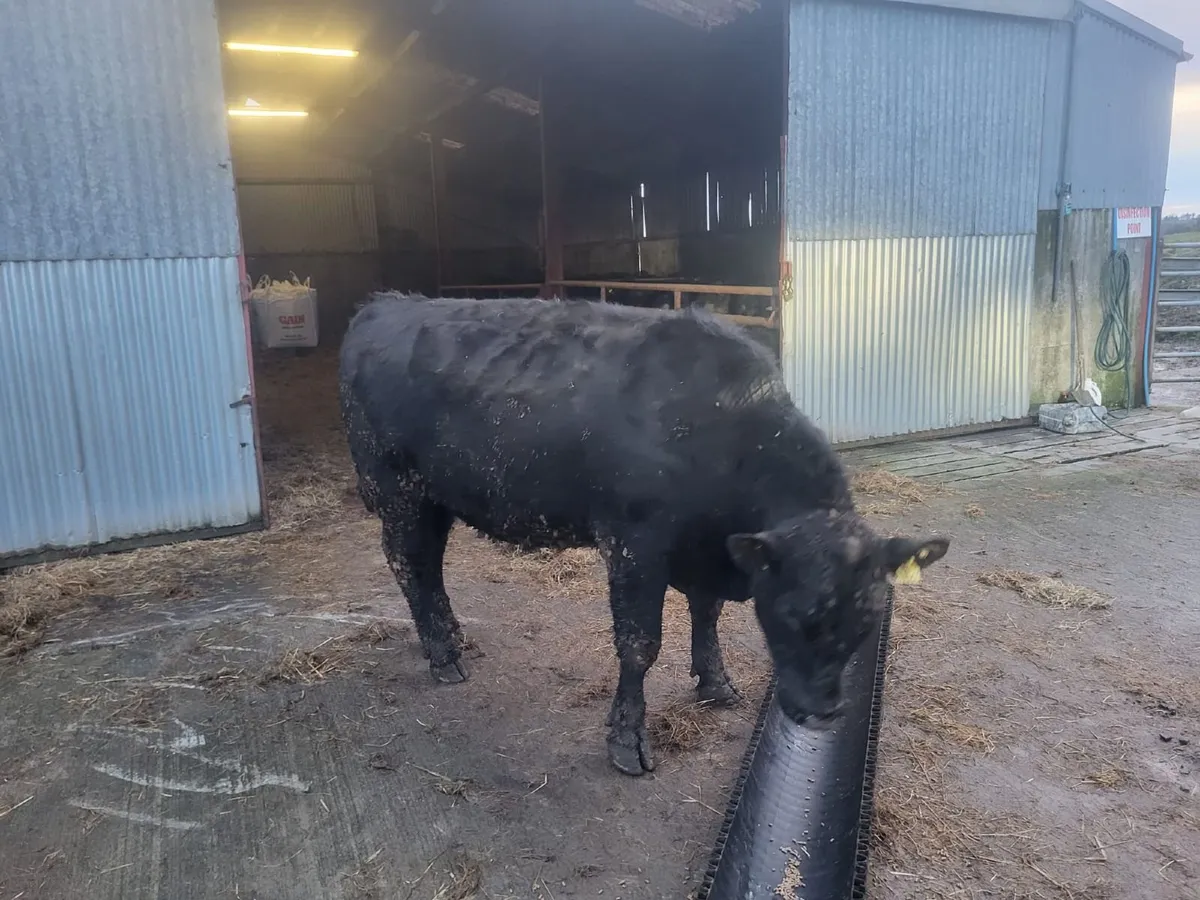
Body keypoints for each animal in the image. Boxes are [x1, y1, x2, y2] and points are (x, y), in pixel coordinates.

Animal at [338, 292, 949, 776]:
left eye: (869, 621)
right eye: (794, 614)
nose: (821, 714)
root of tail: (385, 304)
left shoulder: (707, 551)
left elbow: (706, 614)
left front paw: (716, 684)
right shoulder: (635, 544)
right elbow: (639, 646)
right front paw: (627, 739)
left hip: (435, 498)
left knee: (429, 569)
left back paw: (453, 637)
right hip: (398, 490)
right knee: (410, 563)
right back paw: (443, 656)